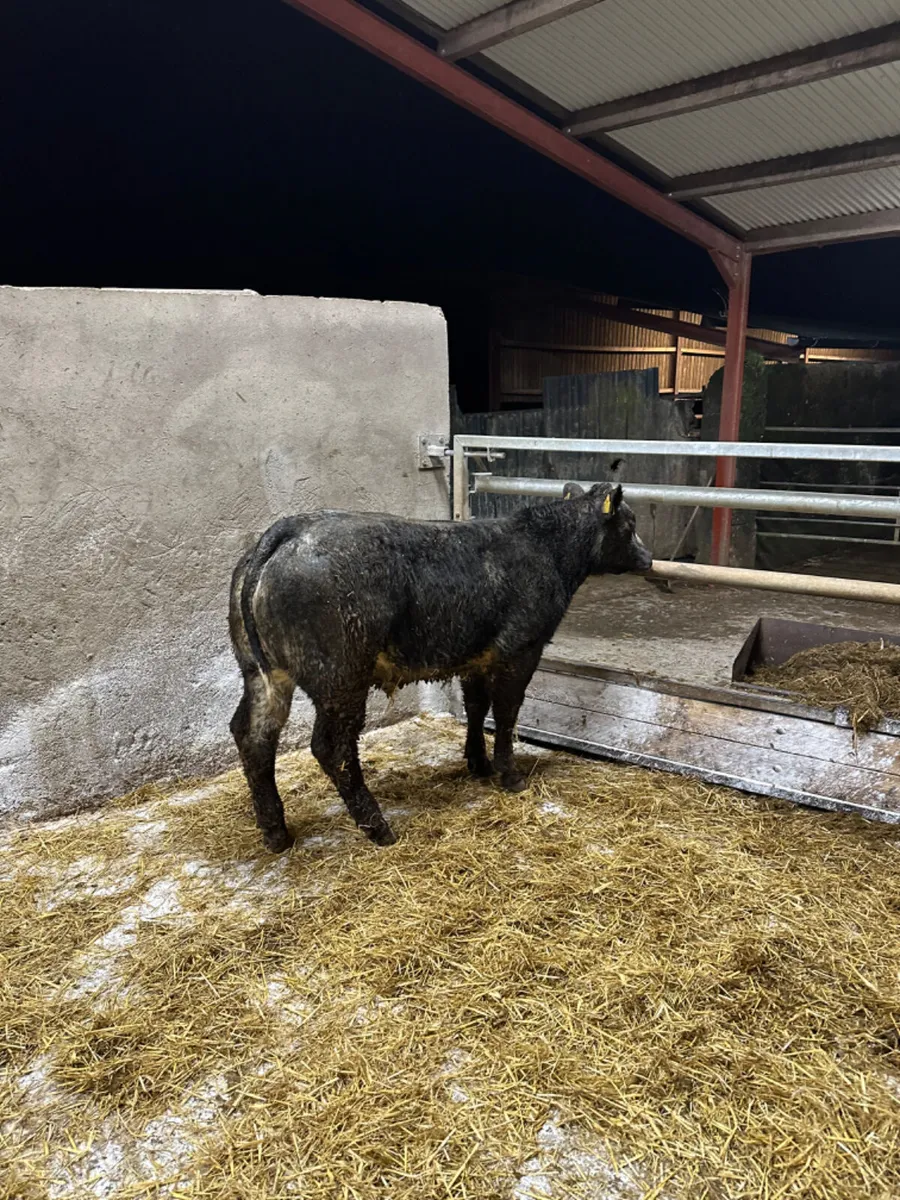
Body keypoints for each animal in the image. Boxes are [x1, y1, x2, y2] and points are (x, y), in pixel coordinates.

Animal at [228, 483, 652, 853]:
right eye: (630, 524)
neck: (545, 548)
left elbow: (477, 708)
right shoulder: (520, 649)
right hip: (340, 678)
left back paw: (276, 833)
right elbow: (507, 712)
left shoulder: (476, 656)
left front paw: (478, 764)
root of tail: (289, 530)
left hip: (262, 673)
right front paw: (510, 774)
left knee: (252, 735)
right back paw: (377, 827)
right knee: (332, 748)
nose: (648, 558)